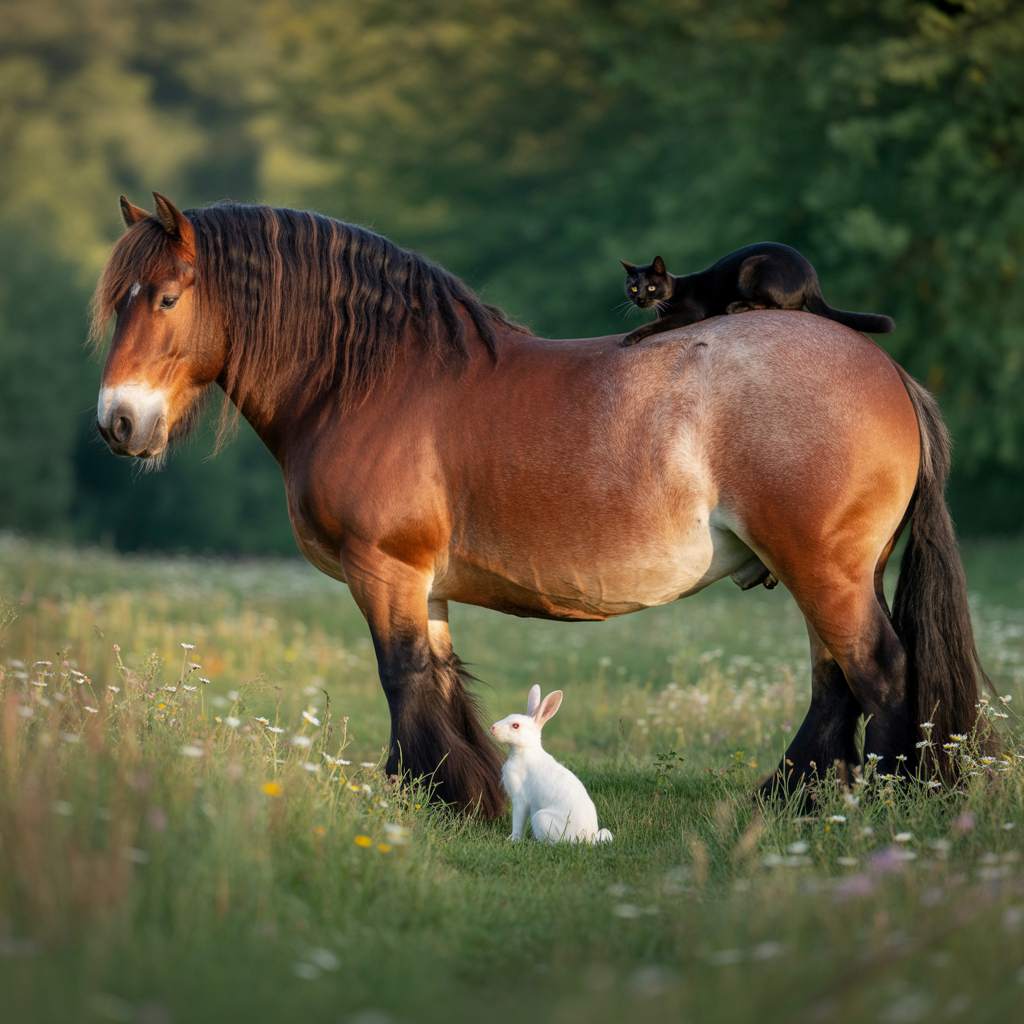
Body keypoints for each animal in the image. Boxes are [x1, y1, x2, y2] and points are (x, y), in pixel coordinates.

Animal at [91, 193, 988, 816]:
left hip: (825, 570)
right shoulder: (424, 583)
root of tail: (887, 372)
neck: (380, 380)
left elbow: (401, 675)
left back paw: (882, 808)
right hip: (825, 573)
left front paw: (435, 802)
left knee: (880, 674)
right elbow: (439, 678)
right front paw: (467, 794)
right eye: (118, 300)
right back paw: (793, 804)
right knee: (835, 683)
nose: (117, 423)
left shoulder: (384, 569)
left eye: (165, 297)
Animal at [491, 685, 614, 844]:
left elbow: (518, 823)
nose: (492, 728)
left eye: (515, 725)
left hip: (540, 818)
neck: (525, 751)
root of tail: (586, 839)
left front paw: (513, 839)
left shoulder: (520, 801)